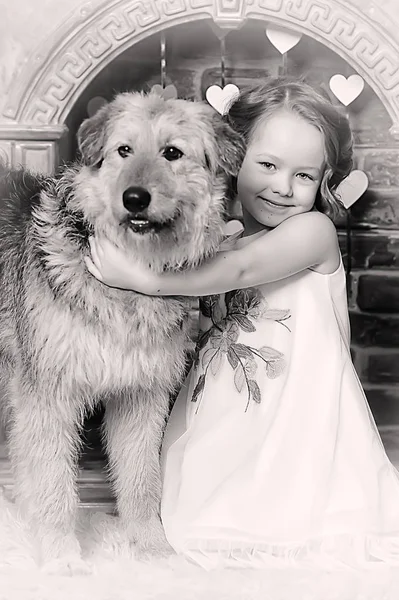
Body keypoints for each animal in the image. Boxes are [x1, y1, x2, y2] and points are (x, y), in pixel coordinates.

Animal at [0, 91, 244, 576]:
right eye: (123, 151)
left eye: (172, 153)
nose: (134, 199)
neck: (125, 283)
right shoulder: (47, 394)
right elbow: (54, 482)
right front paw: (60, 556)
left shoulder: (140, 394)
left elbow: (142, 480)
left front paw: (152, 549)